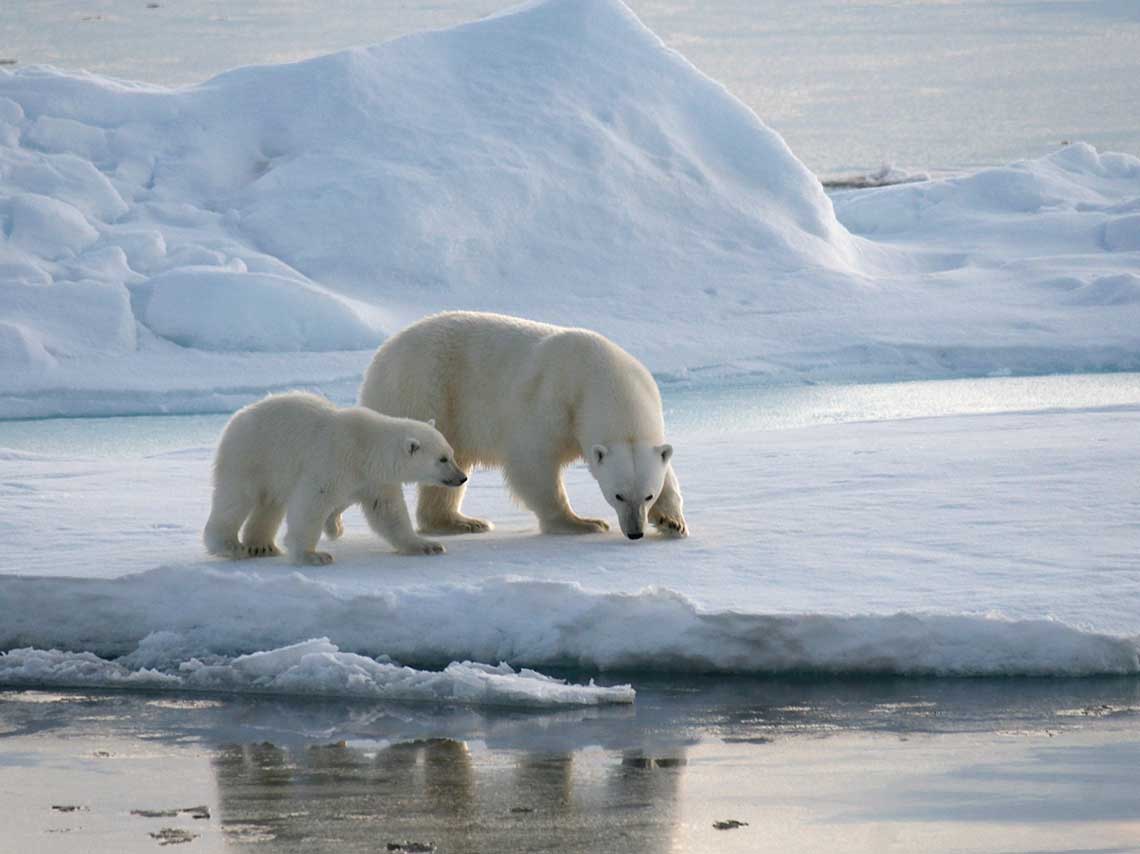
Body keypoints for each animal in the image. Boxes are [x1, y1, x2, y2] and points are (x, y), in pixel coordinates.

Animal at [202, 392, 465, 565]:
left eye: (451, 453)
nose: (462, 477)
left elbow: (389, 513)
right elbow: (311, 504)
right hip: (251, 454)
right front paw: (313, 555)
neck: (366, 449)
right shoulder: (333, 461)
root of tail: (238, 415)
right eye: (442, 459)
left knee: (270, 504)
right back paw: (231, 546)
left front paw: (428, 545)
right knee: (236, 498)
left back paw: (262, 546)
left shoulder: (375, 480)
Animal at [337, 312, 684, 540]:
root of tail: (381, 354)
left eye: (648, 495)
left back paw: (461, 521)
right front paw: (582, 522)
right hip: (422, 390)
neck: (602, 377)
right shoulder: (553, 402)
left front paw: (672, 521)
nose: (635, 532)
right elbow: (533, 462)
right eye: (618, 495)